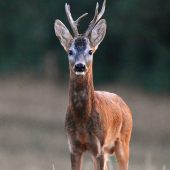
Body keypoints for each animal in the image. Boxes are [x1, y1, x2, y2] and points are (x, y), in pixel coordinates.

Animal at [54, 0, 133, 169]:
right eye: (70, 51)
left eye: (90, 51)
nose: (80, 66)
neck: (82, 121)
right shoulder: (73, 146)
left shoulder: (98, 146)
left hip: (124, 141)